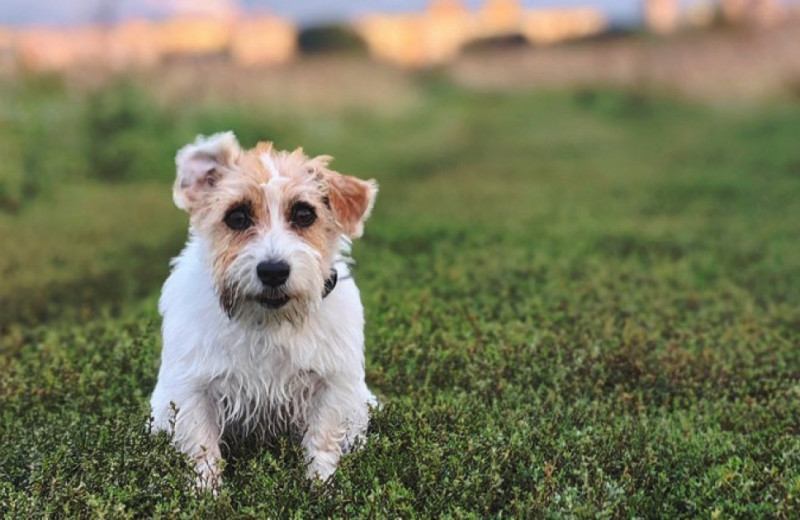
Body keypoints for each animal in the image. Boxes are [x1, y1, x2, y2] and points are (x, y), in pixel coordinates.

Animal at [151, 132, 382, 490]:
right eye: (237, 217)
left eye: (304, 214)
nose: (273, 271)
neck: (268, 321)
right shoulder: (192, 389)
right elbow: (202, 448)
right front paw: (207, 494)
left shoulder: (332, 384)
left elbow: (322, 439)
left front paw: (321, 487)